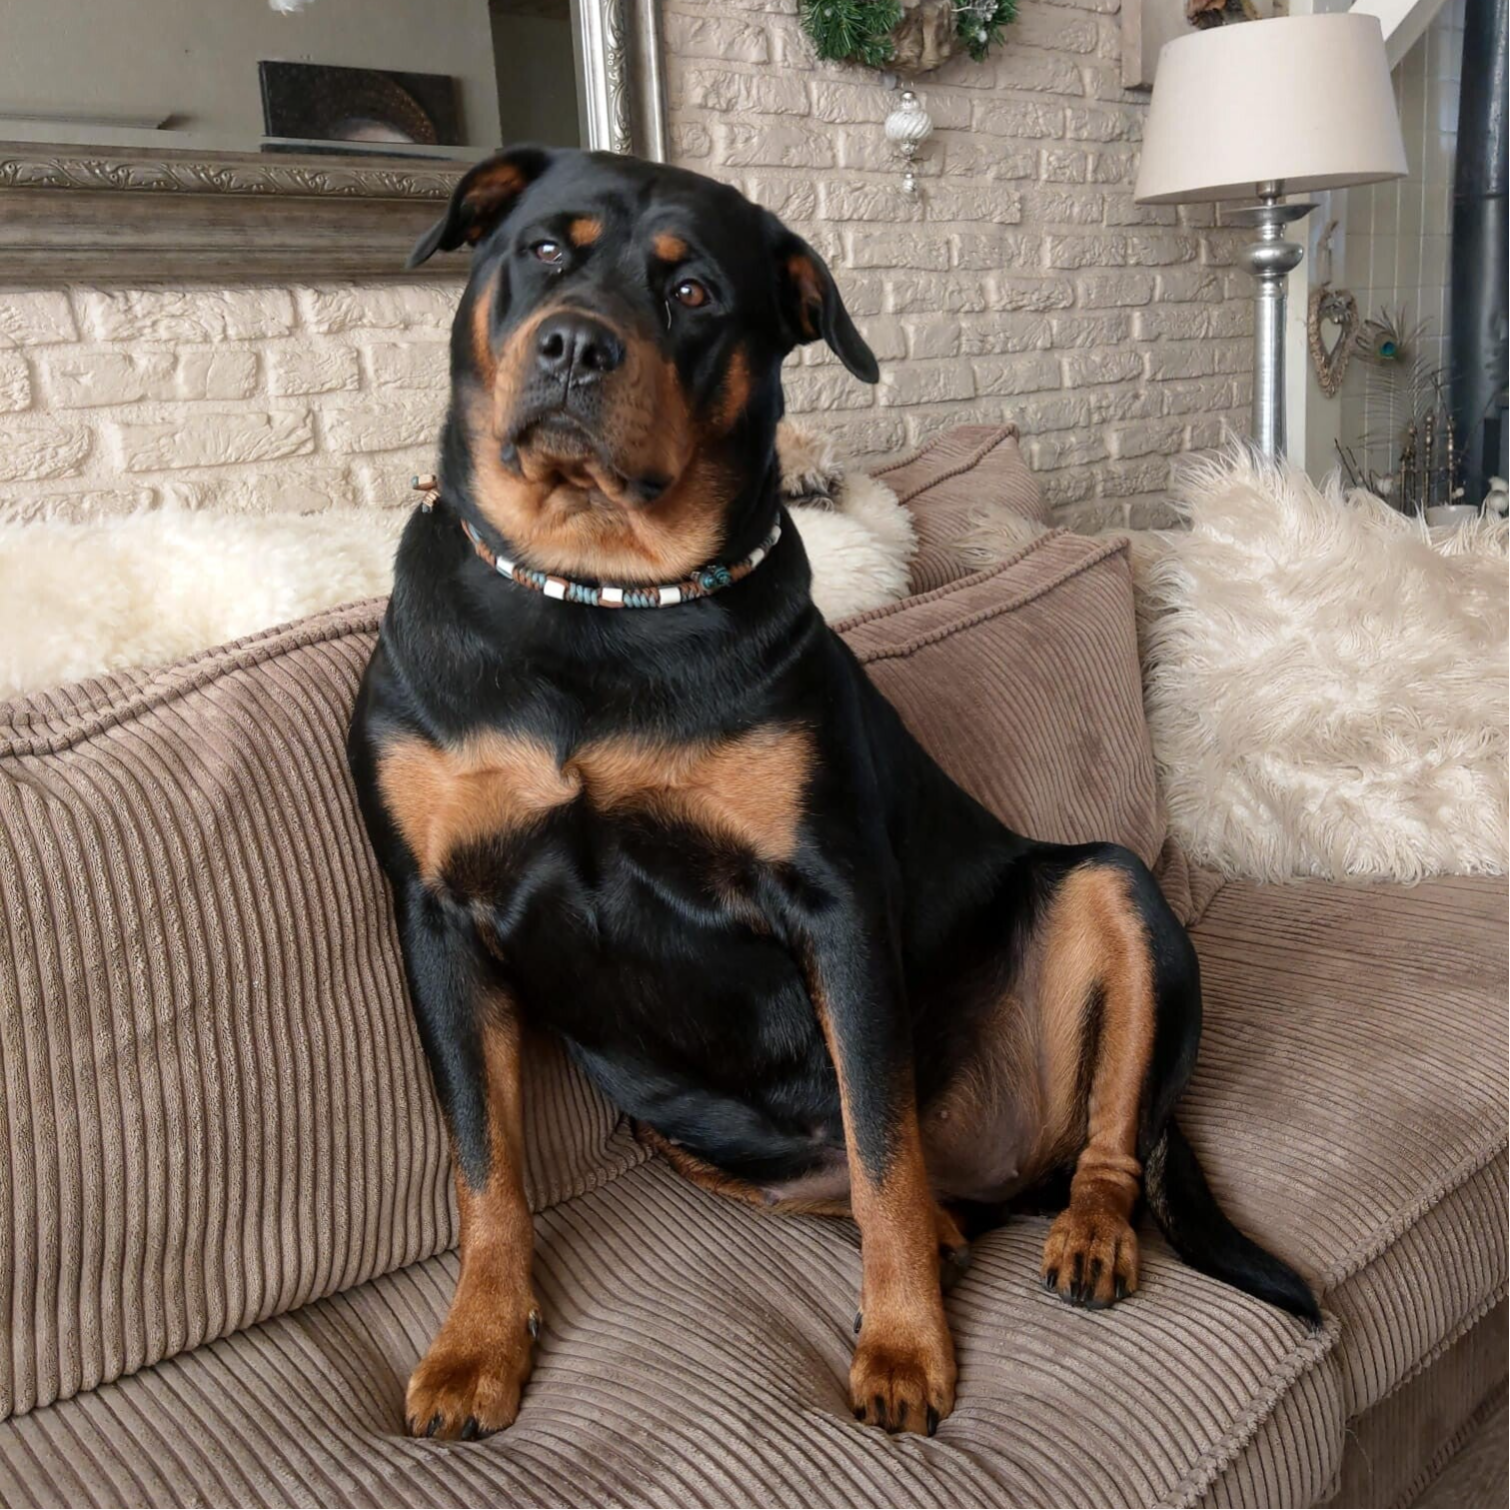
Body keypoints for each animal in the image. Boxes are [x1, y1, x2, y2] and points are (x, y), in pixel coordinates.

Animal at [348, 146, 1318, 1443]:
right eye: (543, 250)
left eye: (694, 293)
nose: (573, 346)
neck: (593, 595)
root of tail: (1015, 1173)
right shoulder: (438, 917)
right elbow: (483, 1164)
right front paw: (474, 1344)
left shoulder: (832, 902)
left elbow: (881, 1147)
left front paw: (904, 1343)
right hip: (680, 1134)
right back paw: (960, 1229)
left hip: (1111, 889)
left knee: (1100, 1126)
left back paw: (1087, 1230)